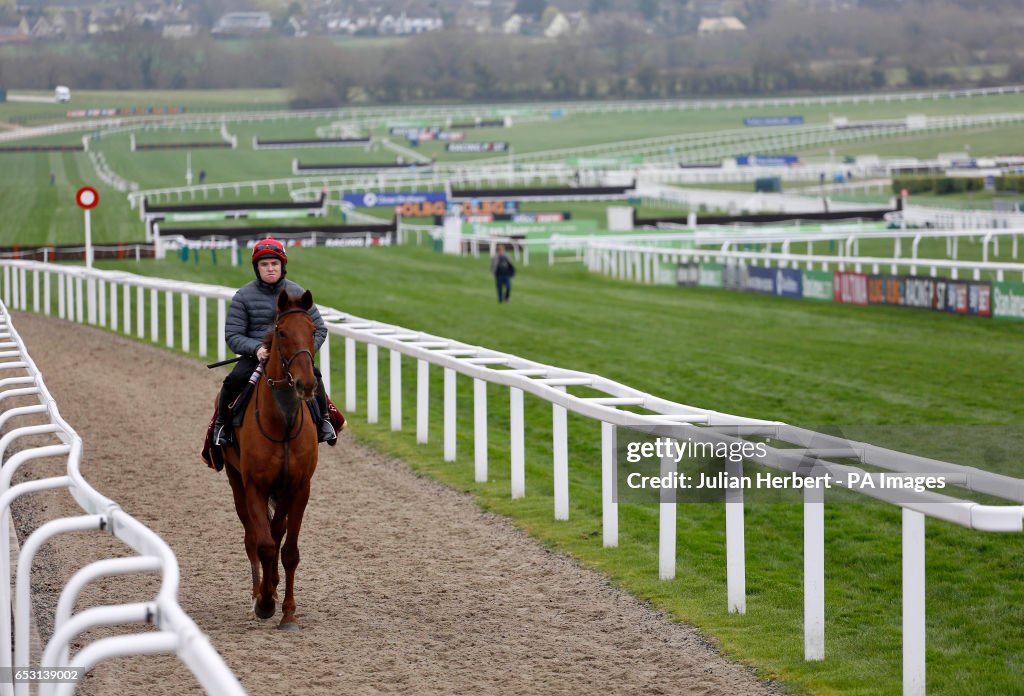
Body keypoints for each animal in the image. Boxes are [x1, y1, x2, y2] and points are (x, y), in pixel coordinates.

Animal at [222, 288, 317, 630]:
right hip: (235, 480)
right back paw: (258, 593)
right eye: (282, 332)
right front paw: (264, 602)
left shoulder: (300, 486)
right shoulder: (255, 485)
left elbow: (288, 550)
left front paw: (287, 611)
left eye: (313, 331)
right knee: (253, 536)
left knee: (276, 532)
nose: (306, 384)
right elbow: (263, 544)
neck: (283, 424)